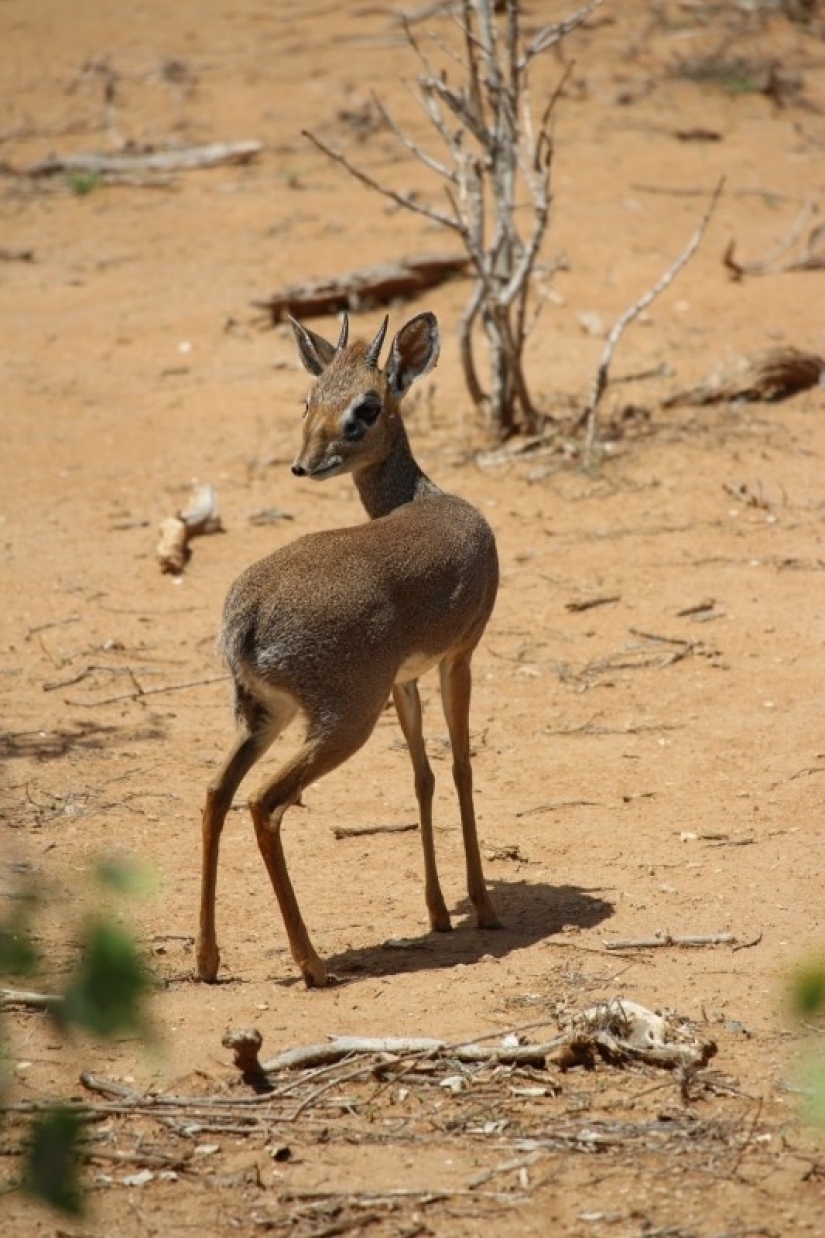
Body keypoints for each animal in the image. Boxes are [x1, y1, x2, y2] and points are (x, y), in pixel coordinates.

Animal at [195, 309, 497, 985]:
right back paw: (311, 963)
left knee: (216, 793)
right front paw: (484, 906)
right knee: (263, 803)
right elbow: (462, 768)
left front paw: (440, 911)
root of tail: (246, 619)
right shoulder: (458, 657)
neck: (424, 498)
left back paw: (207, 959)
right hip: (342, 720)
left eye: (366, 405)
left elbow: (423, 775)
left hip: (264, 715)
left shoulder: (406, 679)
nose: (305, 464)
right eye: (309, 399)